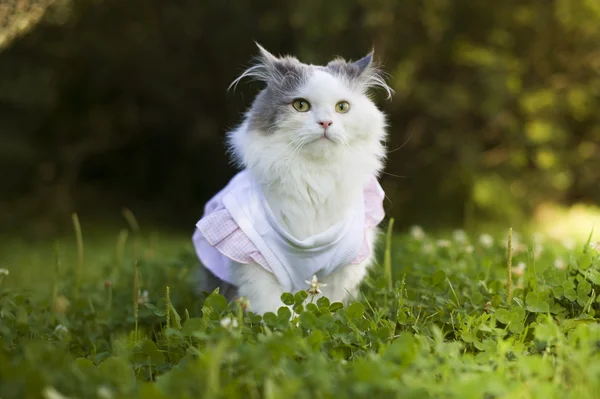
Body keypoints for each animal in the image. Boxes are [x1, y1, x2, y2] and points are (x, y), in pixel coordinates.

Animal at [191, 44, 390, 316]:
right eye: (301, 105)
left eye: (342, 108)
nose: (325, 122)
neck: (315, 177)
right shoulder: (256, 267)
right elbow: (275, 311)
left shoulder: (345, 267)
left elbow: (328, 304)